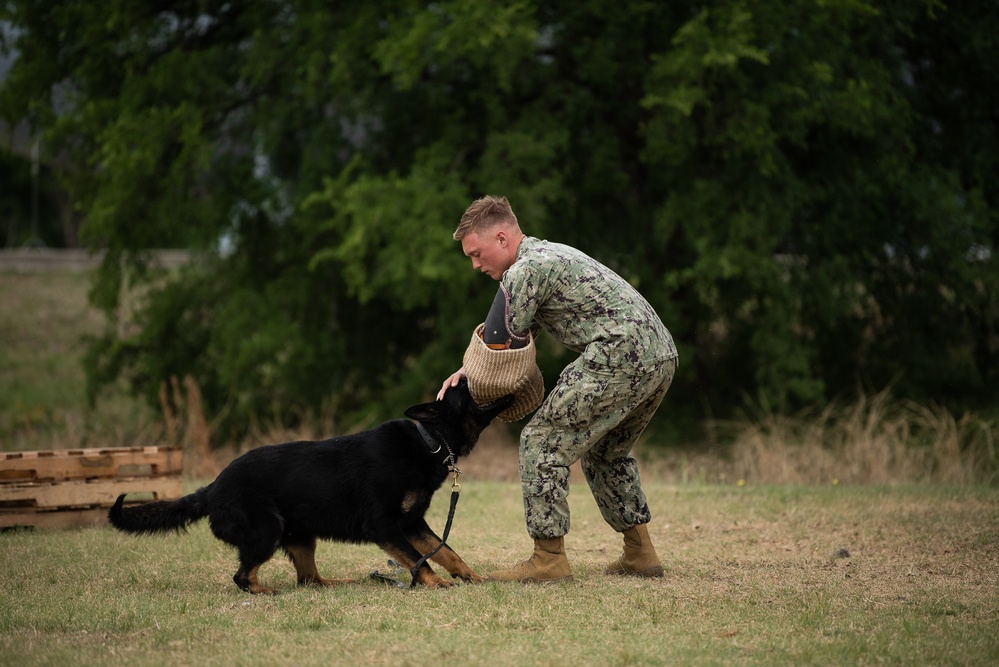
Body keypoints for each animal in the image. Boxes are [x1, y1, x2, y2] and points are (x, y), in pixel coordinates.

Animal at [109, 380, 516, 596]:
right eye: (463, 390)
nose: (466, 374)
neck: (430, 439)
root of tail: (211, 489)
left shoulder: (413, 523)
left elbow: (447, 551)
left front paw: (471, 577)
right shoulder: (385, 526)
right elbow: (421, 560)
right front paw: (436, 584)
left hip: (301, 536)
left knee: (309, 579)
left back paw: (337, 583)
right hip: (267, 530)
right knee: (243, 576)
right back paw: (265, 592)